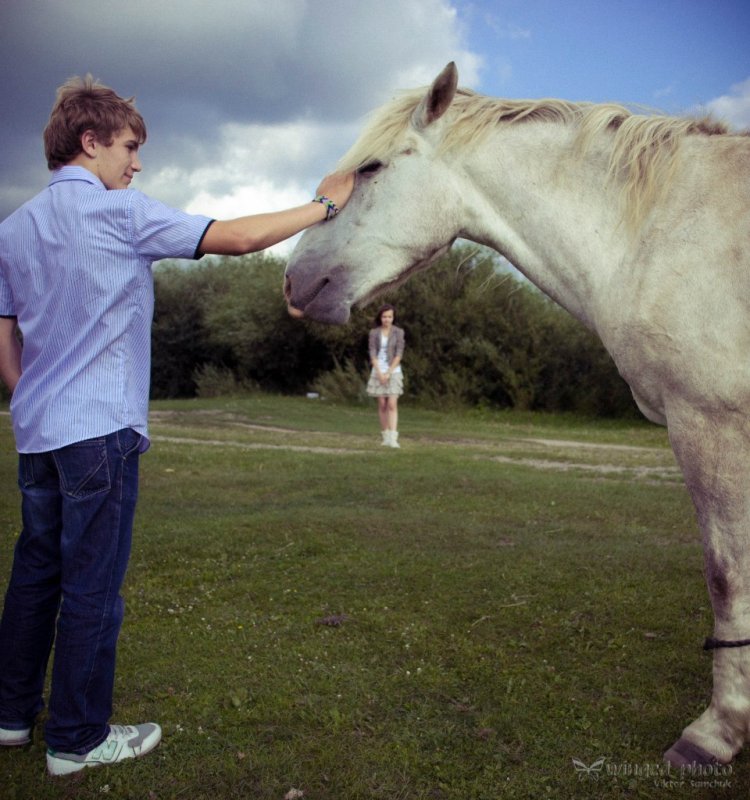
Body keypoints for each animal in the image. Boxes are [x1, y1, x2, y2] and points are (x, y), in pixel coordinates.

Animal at [284, 64, 750, 768]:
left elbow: (726, 575)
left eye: (369, 168)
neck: (665, 229)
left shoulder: (711, 425)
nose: (291, 280)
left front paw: (716, 732)